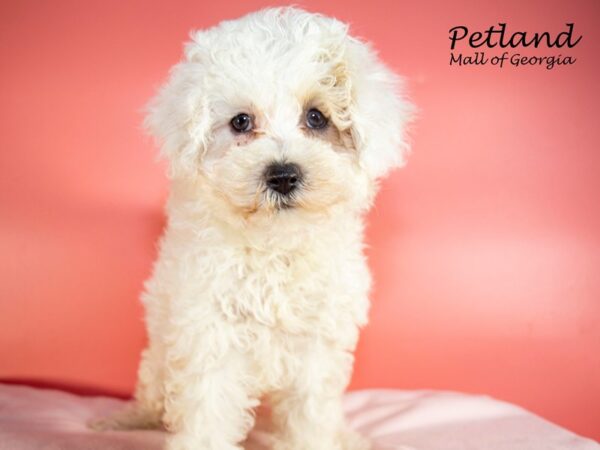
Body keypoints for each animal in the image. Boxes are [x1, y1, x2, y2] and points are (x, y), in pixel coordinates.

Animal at [92, 7, 412, 450]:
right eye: (241, 122)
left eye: (316, 117)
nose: (282, 175)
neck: (274, 245)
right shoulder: (210, 329)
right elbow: (208, 409)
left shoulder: (316, 342)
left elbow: (310, 412)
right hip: (158, 358)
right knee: (152, 394)